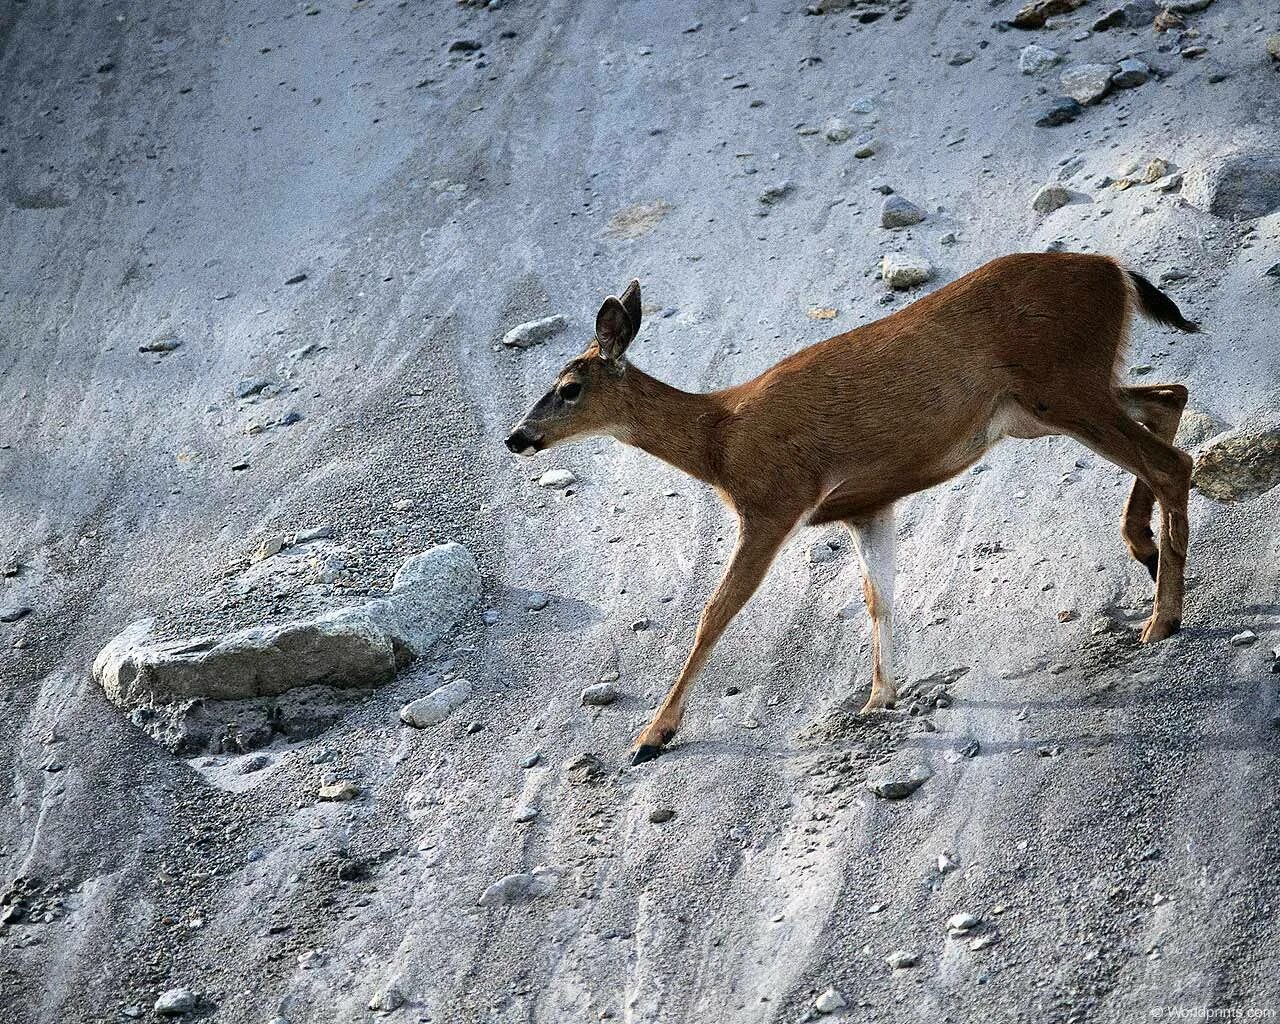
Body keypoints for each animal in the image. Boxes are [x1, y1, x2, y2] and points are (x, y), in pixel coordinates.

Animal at [501, 252, 1198, 762]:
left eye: (569, 388)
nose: (516, 437)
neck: (719, 439)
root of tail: (1113, 268)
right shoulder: (868, 503)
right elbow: (878, 597)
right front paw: (878, 697)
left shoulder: (774, 501)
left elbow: (714, 613)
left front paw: (653, 734)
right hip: (1046, 403)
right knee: (1169, 397)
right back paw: (1144, 550)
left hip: (1062, 384)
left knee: (1172, 460)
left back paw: (1162, 615)